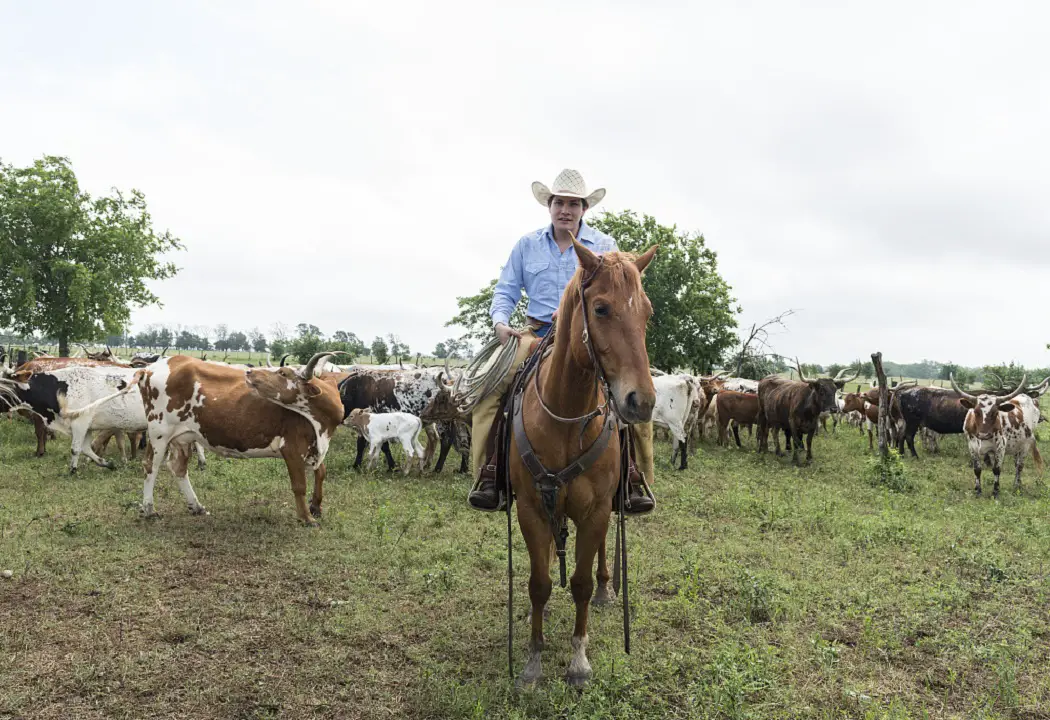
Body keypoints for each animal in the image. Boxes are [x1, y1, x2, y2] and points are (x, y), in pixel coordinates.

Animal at [125, 352, 342, 522]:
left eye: (282, 373)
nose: (249, 373)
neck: (323, 425)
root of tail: (150, 369)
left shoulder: (315, 447)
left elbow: (321, 472)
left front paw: (316, 506)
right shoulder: (292, 449)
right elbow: (299, 486)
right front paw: (306, 517)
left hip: (183, 437)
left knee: (178, 467)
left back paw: (196, 506)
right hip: (159, 433)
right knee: (150, 466)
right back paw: (149, 509)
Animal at [508, 235, 655, 688]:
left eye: (647, 313)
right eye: (601, 308)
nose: (641, 401)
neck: (566, 418)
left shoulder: (595, 512)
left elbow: (581, 584)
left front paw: (578, 660)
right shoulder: (530, 508)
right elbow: (539, 583)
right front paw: (533, 660)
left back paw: (609, 588)